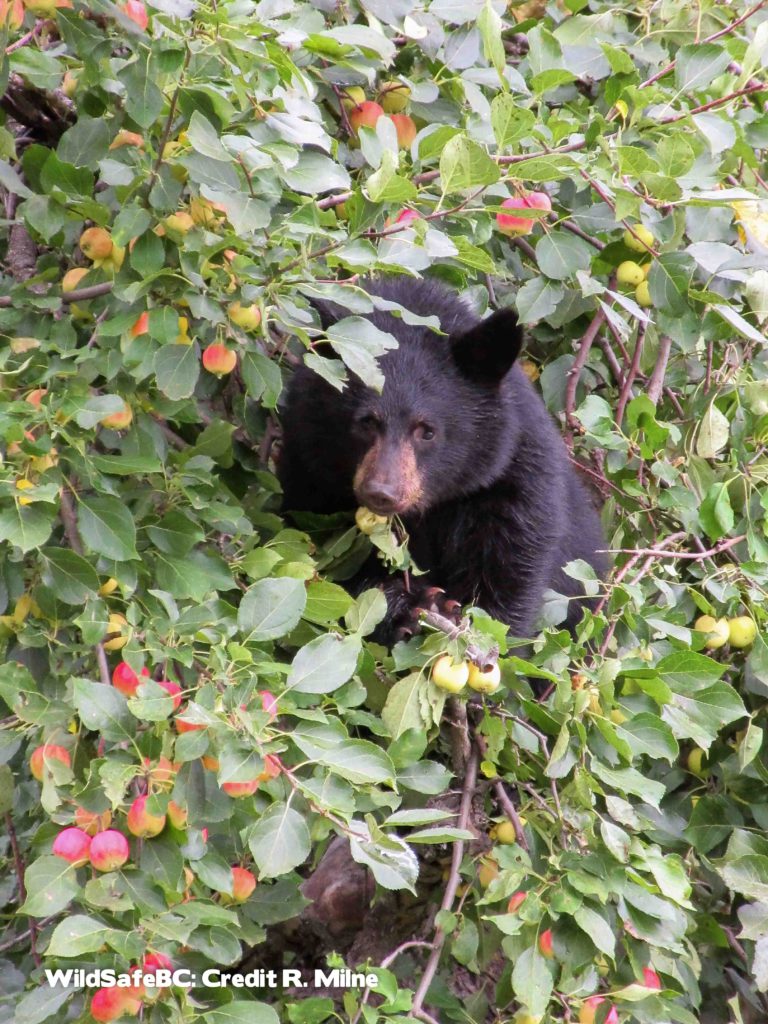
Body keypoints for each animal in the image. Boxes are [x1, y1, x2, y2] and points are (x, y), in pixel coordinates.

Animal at [276, 276, 606, 643]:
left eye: (427, 431)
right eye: (366, 422)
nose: (382, 492)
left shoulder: (515, 482)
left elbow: (509, 581)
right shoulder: (309, 466)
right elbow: (326, 559)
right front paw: (408, 608)